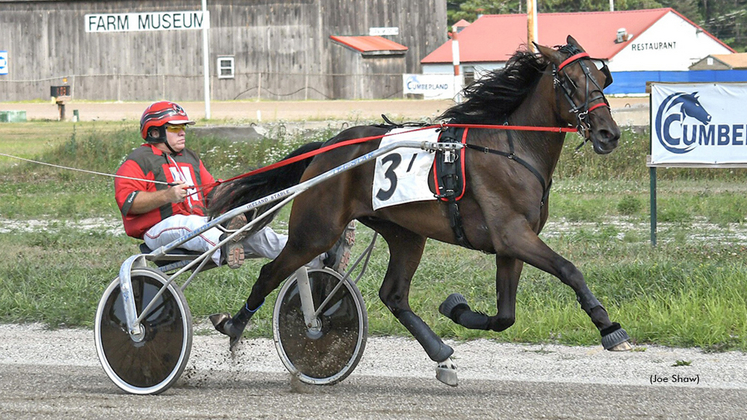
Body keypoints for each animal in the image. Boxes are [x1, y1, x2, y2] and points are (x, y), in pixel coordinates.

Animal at [209, 37, 632, 388]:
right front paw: (610, 328)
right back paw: (235, 328)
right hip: (315, 229)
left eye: (602, 77)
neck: (510, 148)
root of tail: (328, 148)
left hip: (405, 233)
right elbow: (569, 269)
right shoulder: (514, 234)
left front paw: (457, 308)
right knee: (270, 272)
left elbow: (505, 316)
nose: (609, 134)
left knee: (393, 295)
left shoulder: (510, 244)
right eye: (571, 81)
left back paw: (441, 356)